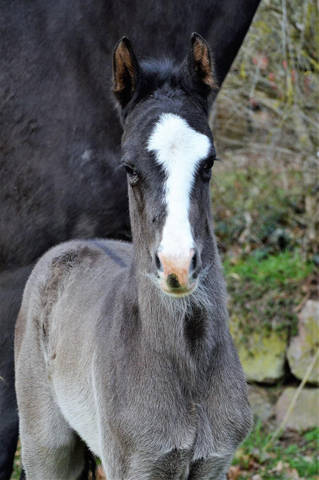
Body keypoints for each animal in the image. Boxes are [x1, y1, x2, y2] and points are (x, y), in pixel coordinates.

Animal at [0, 1, 262, 478]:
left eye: (209, 162)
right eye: (130, 168)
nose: (177, 266)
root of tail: (66, 250)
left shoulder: (214, 463)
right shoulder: (135, 465)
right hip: (46, 445)